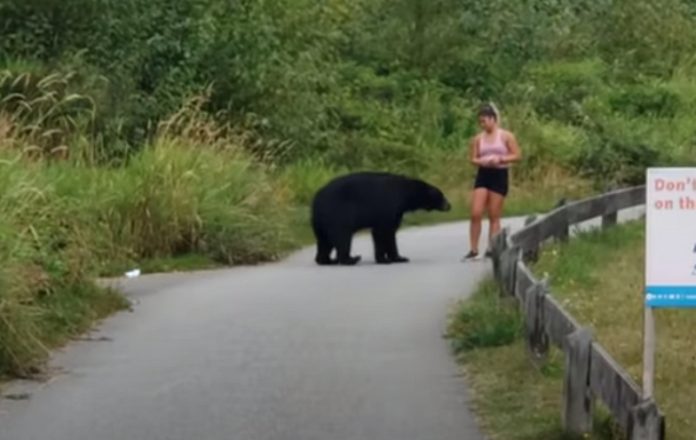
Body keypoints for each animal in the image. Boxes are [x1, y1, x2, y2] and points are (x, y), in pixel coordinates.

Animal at [310, 171, 451, 266]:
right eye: (442, 196)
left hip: (321, 222)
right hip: (337, 214)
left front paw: (398, 258)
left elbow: (389, 233)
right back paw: (351, 259)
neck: (405, 195)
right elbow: (383, 232)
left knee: (324, 241)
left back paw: (327, 260)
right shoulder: (388, 206)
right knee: (342, 237)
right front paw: (386, 259)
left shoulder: (396, 212)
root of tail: (316, 200)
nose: (449, 205)